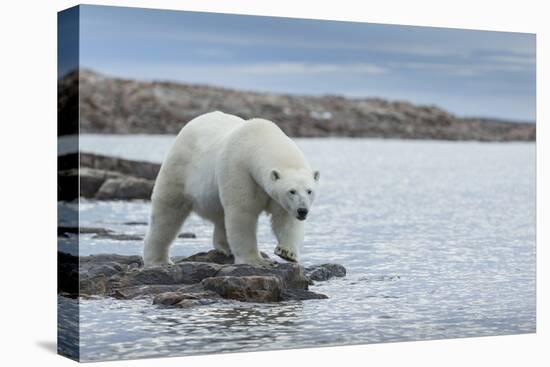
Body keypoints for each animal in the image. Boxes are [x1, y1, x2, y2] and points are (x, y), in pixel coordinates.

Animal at [144, 112, 322, 268]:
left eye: (309, 191)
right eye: (292, 191)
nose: (302, 211)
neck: (259, 140)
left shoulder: (277, 197)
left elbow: (285, 218)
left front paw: (287, 252)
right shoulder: (239, 169)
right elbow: (242, 213)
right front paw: (255, 260)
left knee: (220, 215)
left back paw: (224, 247)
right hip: (180, 166)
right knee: (167, 212)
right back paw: (158, 259)